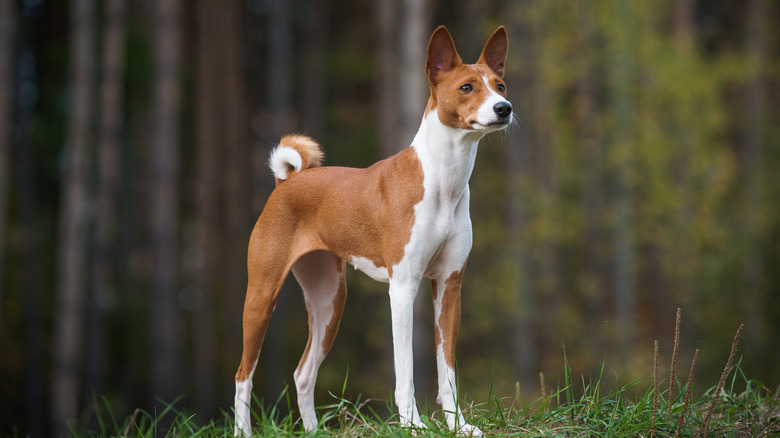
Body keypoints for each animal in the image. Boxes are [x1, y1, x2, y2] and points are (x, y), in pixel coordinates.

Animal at [232, 26, 512, 434]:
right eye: (466, 87)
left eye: (500, 85)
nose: (504, 108)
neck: (444, 181)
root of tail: (287, 181)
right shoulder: (403, 288)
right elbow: (405, 371)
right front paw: (412, 425)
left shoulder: (449, 287)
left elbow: (448, 371)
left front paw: (458, 425)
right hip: (261, 295)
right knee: (243, 375)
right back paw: (243, 430)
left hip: (329, 301)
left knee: (303, 373)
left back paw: (314, 431)